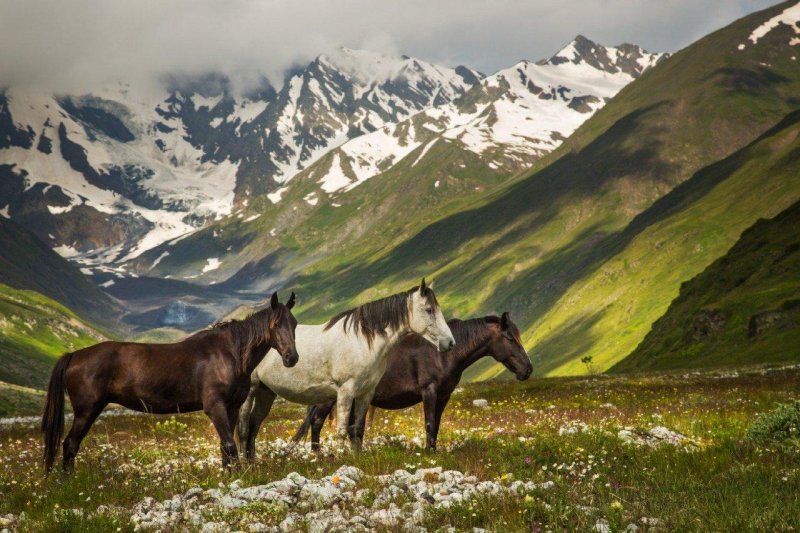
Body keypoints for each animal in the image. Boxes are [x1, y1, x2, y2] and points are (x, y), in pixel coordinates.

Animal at [41, 288, 296, 472]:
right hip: (87, 410)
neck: (229, 353)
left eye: (293, 323)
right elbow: (230, 445)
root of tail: (74, 355)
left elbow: (226, 447)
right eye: (275, 324)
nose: (291, 357)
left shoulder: (231, 408)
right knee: (70, 444)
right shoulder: (215, 407)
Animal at [234, 278, 454, 458]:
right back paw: (246, 464)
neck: (362, 342)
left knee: (254, 425)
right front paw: (341, 459)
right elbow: (341, 430)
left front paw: (357, 458)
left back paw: (253, 461)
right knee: (243, 428)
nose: (450, 343)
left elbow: (357, 429)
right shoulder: (345, 391)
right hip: (251, 390)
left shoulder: (366, 393)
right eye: (429, 310)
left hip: (266, 392)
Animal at [294, 314, 532, 450]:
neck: (442, 354)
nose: (527, 370)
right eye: (510, 338)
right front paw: (428, 453)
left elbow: (436, 425)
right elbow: (429, 423)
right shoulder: (429, 391)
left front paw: (433, 451)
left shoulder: (443, 396)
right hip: (328, 399)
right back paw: (317, 455)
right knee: (317, 422)